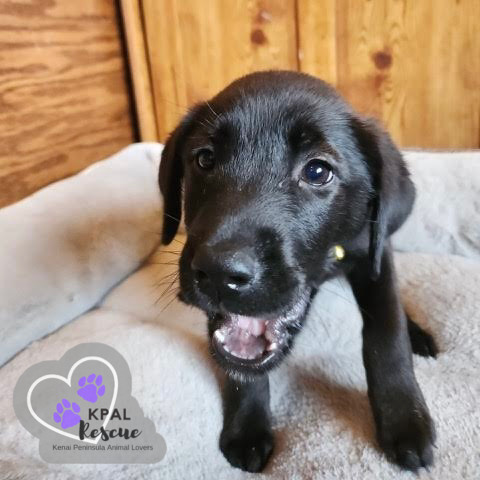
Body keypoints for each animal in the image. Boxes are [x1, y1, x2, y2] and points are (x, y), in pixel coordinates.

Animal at [159, 71, 436, 472]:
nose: (219, 272)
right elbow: (238, 359)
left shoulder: (375, 258)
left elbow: (387, 333)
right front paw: (247, 424)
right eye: (205, 159)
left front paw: (404, 420)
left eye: (317, 171)